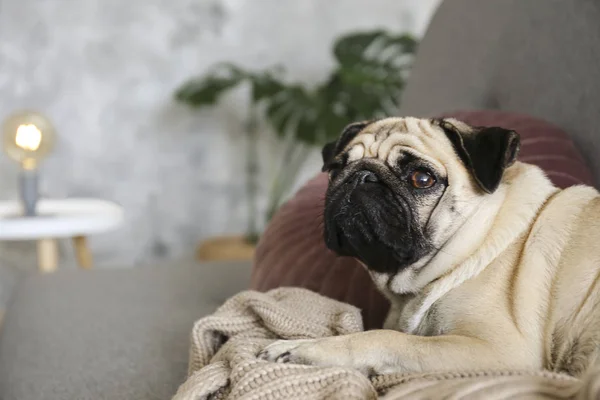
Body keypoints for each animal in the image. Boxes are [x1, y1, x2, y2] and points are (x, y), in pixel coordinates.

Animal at [260, 116, 600, 378]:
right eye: (334, 171)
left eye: (421, 178)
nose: (361, 177)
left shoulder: (498, 349)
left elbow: (384, 339)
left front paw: (304, 349)